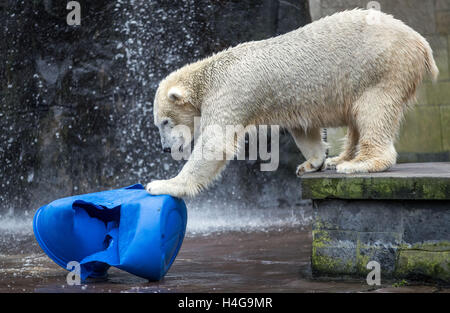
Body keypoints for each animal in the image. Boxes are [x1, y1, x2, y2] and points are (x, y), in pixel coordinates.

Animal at [146, 9, 438, 196]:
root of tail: (421, 43)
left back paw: (359, 164)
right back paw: (339, 159)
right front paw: (313, 162)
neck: (209, 76)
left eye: (165, 121)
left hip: (381, 67)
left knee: (373, 110)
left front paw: (162, 184)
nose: (164, 148)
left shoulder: (231, 92)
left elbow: (216, 142)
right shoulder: (291, 102)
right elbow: (304, 130)